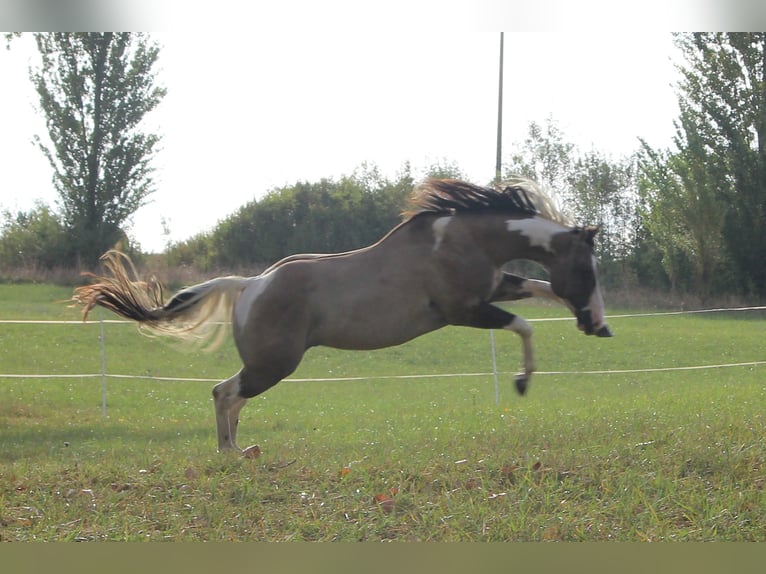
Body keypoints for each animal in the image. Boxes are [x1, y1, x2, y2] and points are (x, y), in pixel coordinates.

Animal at [72, 178, 612, 453]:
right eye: (586, 269)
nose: (597, 326)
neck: (461, 239)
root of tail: (250, 285)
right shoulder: (464, 309)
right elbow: (524, 323)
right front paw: (522, 381)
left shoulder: (496, 287)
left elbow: (540, 291)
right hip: (273, 365)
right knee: (225, 394)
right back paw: (232, 456)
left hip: (266, 365)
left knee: (228, 396)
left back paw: (240, 451)